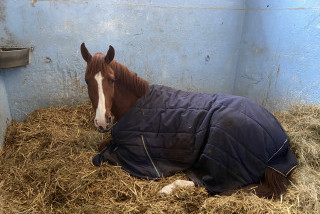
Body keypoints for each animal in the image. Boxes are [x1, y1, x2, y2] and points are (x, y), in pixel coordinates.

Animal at [80, 43, 298, 199]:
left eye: (111, 80)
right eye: (87, 80)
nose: (102, 122)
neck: (137, 105)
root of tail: (282, 144)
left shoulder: (135, 155)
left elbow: (99, 156)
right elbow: (102, 145)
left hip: (222, 155)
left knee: (215, 185)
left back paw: (168, 188)